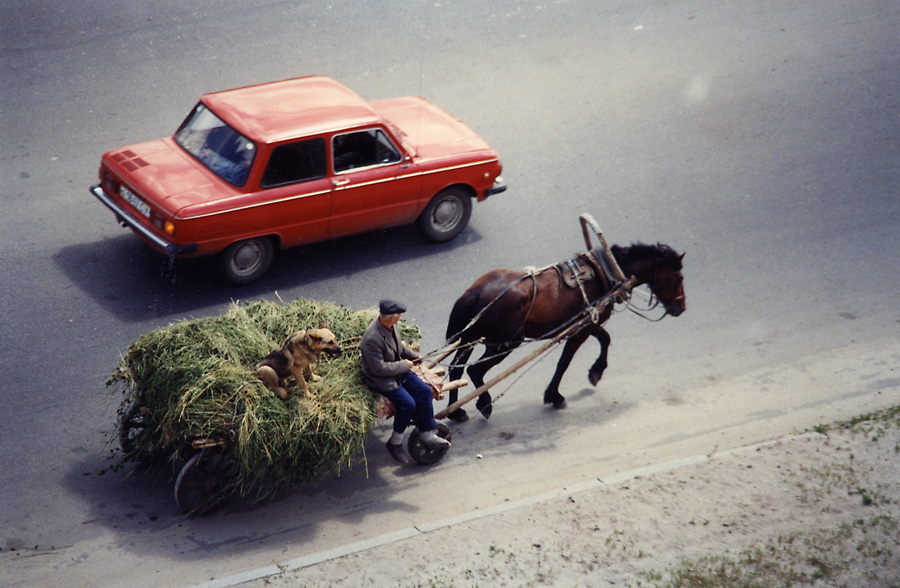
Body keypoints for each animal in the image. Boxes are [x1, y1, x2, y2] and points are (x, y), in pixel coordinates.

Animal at [442, 241, 684, 420]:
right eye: (679, 276)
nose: (681, 307)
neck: (604, 271)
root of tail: (473, 293)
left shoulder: (587, 322)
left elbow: (605, 338)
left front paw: (595, 372)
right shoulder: (582, 329)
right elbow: (565, 362)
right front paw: (555, 395)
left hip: (471, 338)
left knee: (456, 370)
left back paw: (456, 412)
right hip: (505, 343)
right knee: (475, 370)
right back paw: (484, 404)